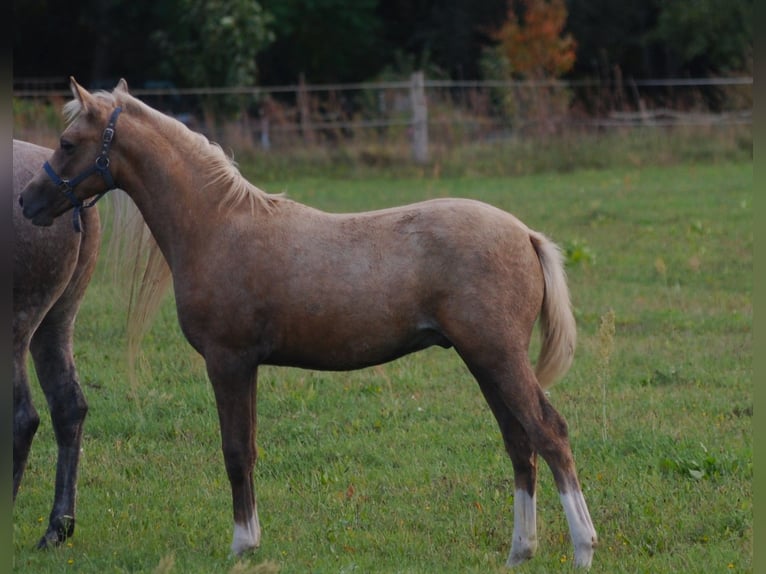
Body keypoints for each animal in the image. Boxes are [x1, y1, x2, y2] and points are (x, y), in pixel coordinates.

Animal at [19, 80, 600, 572]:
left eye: (68, 142)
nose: (27, 200)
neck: (219, 225)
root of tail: (525, 233)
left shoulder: (228, 362)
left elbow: (236, 451)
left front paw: (242, 544)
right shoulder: (246, 366)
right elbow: (250, 448)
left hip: (498, 356)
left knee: (549, 434)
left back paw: (583, 548)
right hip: (483, 361)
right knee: (519, 443)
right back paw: (520, 551)